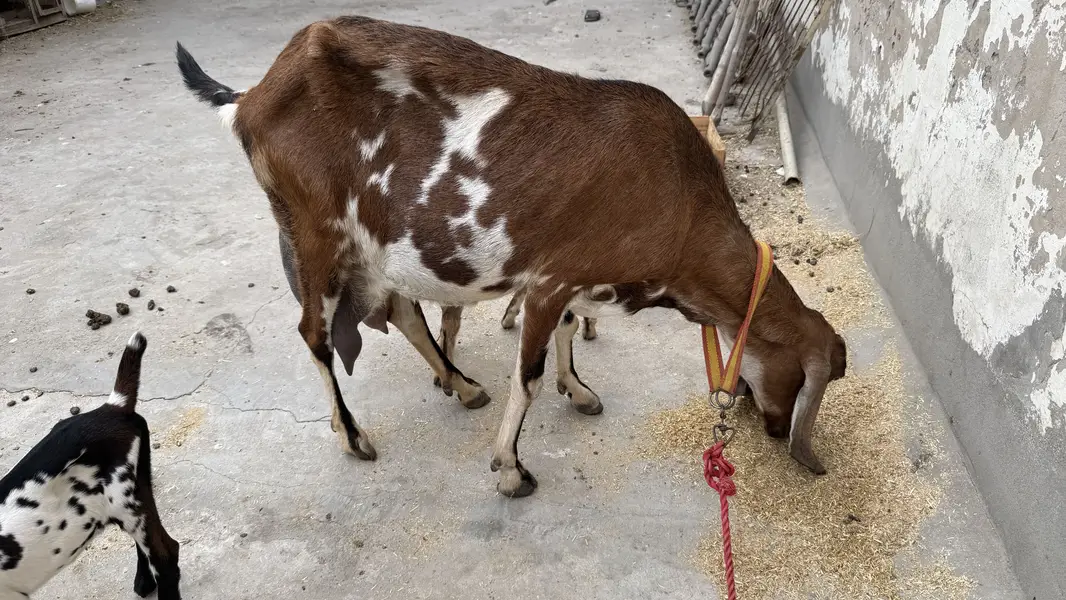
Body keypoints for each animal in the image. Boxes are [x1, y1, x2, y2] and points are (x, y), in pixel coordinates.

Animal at [176, 15, 846, 497]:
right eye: (808, 378)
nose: (776, 431)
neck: (675, 200)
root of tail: (252, 96)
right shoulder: (550, 278)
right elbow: (527, 377)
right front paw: (511, 469)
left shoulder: (576, 280)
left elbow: (571, 331)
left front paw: (578, 390)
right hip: (315, 231)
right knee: (315, 334)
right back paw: (356, 436)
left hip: (371, 242)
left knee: (402, 310)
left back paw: (461, 384)